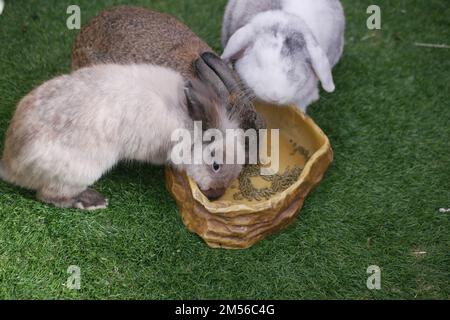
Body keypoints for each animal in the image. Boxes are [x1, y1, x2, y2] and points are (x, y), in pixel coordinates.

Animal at [0, 64, 244, 210]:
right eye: (216, 165)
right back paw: (92, 201)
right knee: (48, 195)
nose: (215, 195)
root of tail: (10, 165)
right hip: (79, 173)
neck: (187, 122)